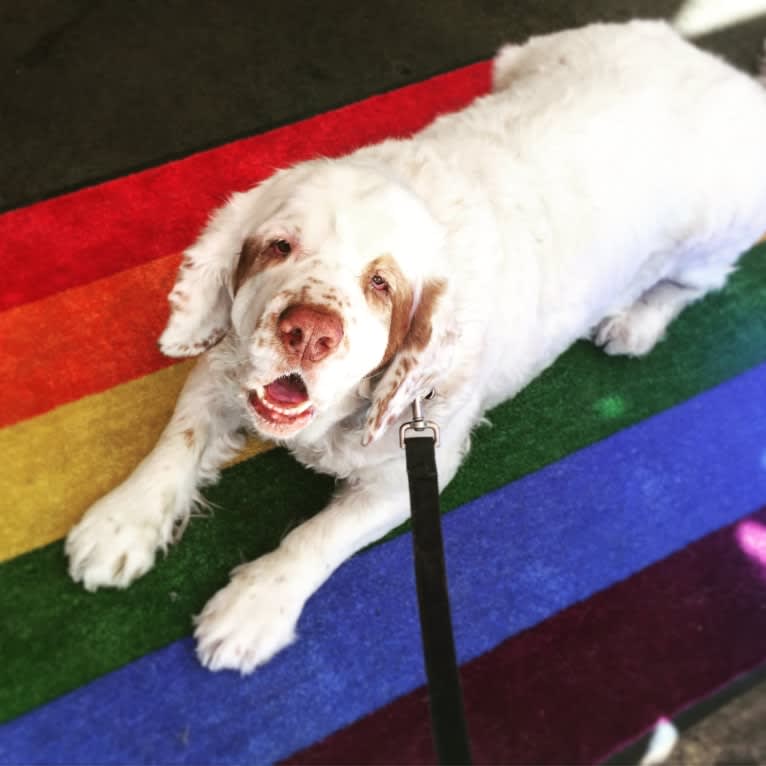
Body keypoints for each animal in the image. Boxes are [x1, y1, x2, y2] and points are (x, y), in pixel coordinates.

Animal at [64, 21, 766, 676]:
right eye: (279, 246)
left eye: (381, 284)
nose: (308, 332)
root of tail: (723, 71)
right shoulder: (227, 364)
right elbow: (177, 441)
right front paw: (121, 524)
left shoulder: (414, 470)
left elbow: (318, 536)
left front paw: (252, 608)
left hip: (714, 237)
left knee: (692, 284)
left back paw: (635, 324)